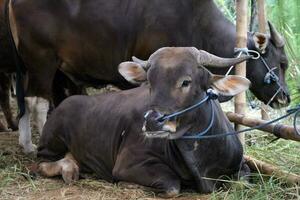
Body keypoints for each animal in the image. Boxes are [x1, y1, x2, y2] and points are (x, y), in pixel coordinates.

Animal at [4, 0, 290, 153]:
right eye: (282, 63)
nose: (286, 97)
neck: (195, 21)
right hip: (42, 60)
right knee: (37, 102)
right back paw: (38, 144)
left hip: (28, 65)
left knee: (24, 100)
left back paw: (25, 142)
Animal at [36, 47, 252, 197]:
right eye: (150, 82)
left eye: (186, 82)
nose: (152, 122)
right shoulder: (128, 165)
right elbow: (172, 186)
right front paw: (129, 185)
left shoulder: (240, 166)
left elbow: (244, 181)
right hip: (51, 142)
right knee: (42, 163)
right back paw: (69, 169)